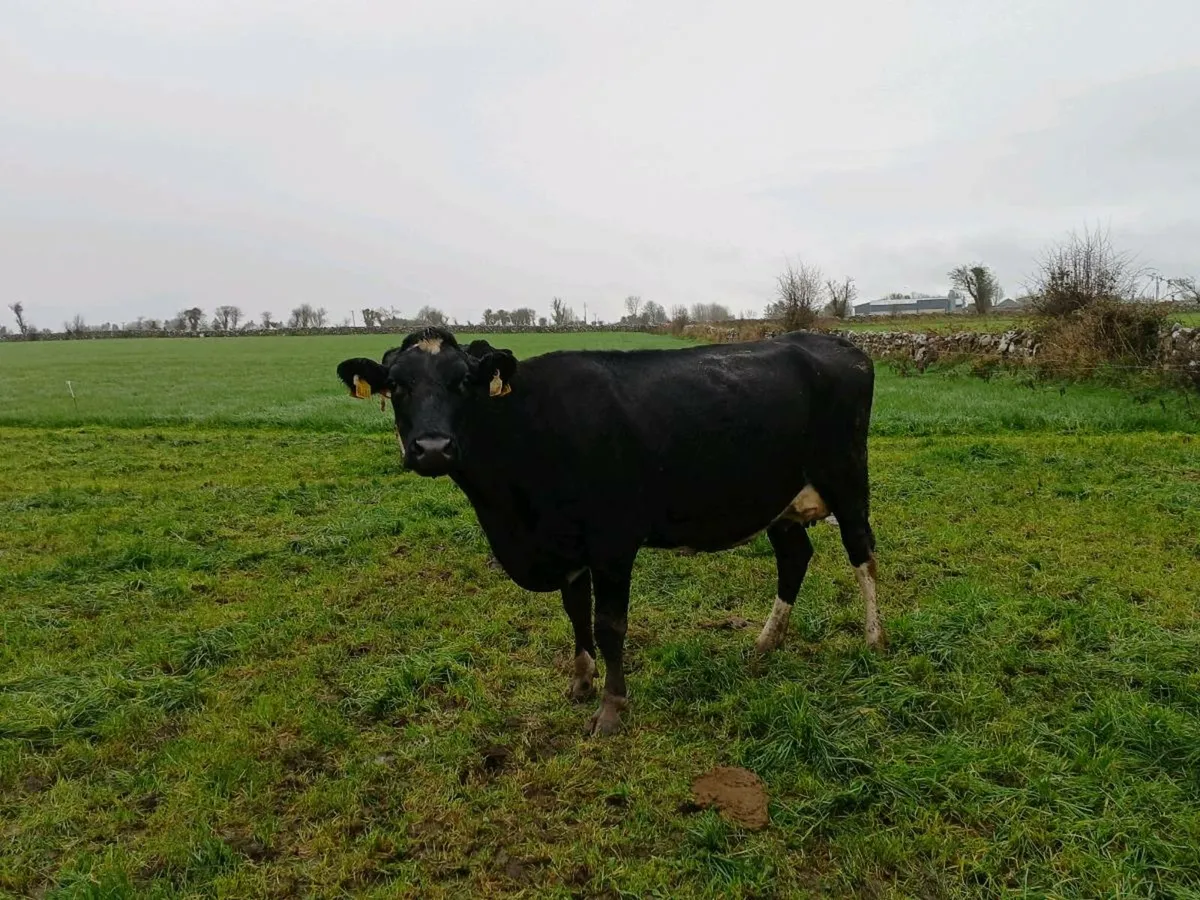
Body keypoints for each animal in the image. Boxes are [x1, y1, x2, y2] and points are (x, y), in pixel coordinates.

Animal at [336, 326, 882, 736]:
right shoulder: (568, 545)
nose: (432, 448)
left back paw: (875, 641)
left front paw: (612, 708)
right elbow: (576, 612)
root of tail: (835, 343)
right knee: (794, 558)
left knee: (862, 552)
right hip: (777, 501)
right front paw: (581, 682)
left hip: (847, 477)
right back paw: (766, 643)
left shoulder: (613, 542)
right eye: (397, 385)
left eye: (464, 382)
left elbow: (609, 624)